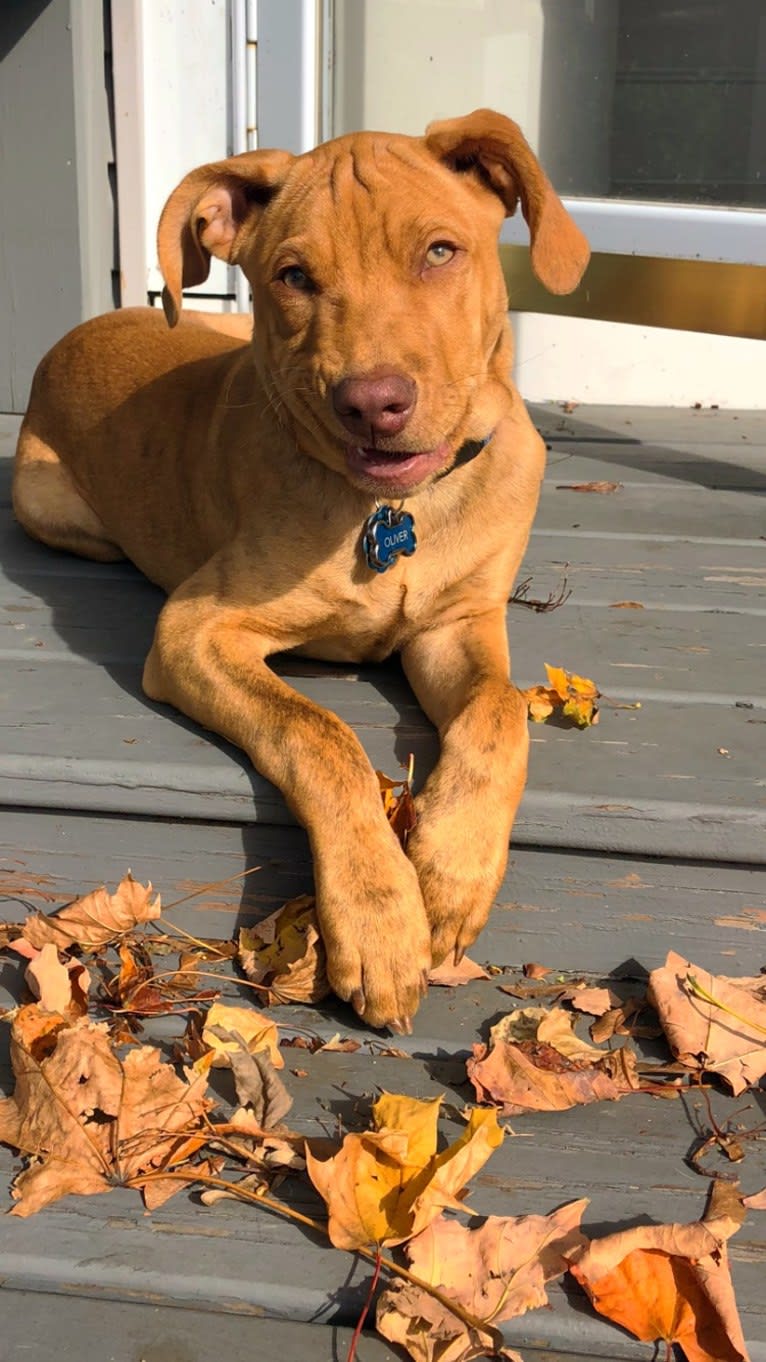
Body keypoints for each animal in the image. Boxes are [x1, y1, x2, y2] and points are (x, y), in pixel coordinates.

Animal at [11, 108, 586, 1029]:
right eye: (293, 277)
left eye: (440, 251)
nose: (373, 403)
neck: (390, 509)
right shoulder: (194, 628)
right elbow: (320, 734)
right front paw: (381, 918)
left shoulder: (458, 624)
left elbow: (499, 709)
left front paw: (449, 874)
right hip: (57, 510)